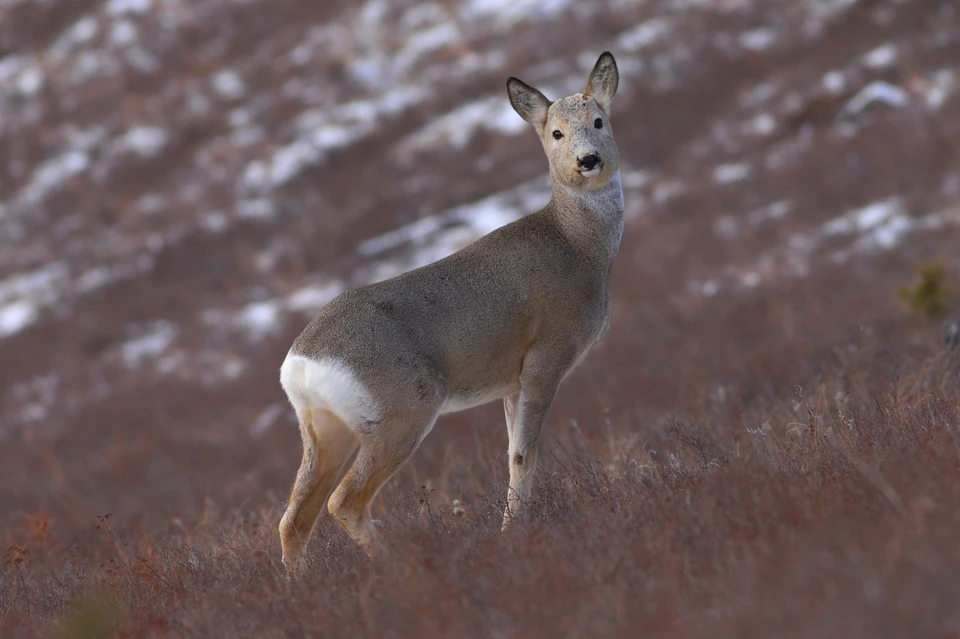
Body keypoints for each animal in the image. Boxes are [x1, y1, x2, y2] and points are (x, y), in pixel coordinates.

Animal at [278, 51, 624, 568]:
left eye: (598, 120)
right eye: (556, 132)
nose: (588, 160)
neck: (579, 246)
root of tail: (299, 364)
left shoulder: (510, 380)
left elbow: (511, 454)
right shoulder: (545, 358)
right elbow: (524, 455)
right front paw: (513, 533)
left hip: (325, 429)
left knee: (294, 517)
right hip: (405, 408)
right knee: (345, 502)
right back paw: (401, 564)